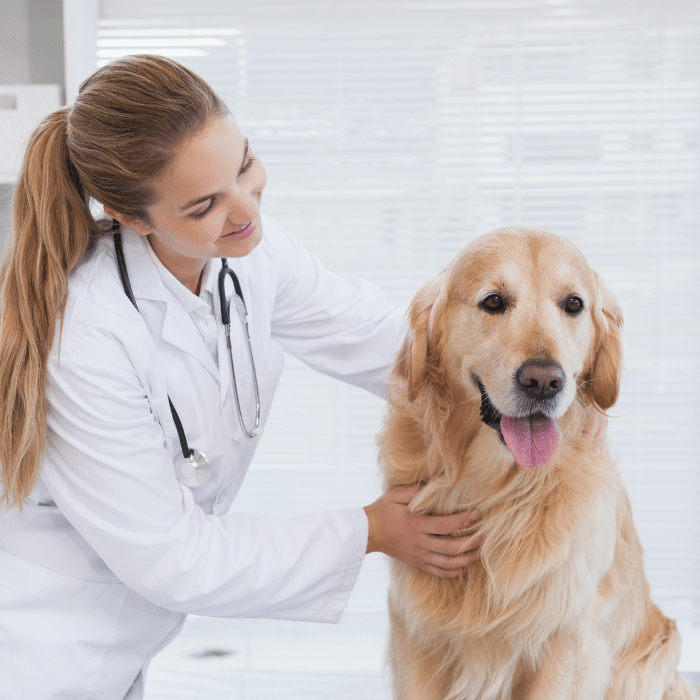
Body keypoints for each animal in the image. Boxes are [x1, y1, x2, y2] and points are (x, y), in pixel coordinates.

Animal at [380, 228, 696, 700]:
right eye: (493, 301)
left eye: (573, 304)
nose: (545, 381)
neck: (498, 490)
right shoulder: (415, 632)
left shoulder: (565, 641)